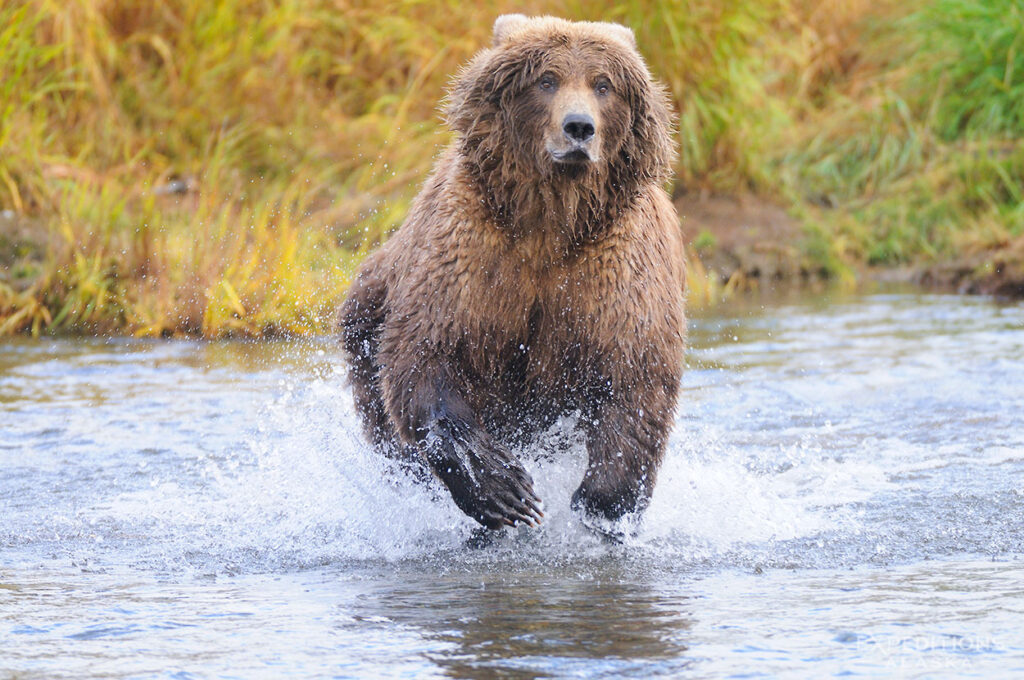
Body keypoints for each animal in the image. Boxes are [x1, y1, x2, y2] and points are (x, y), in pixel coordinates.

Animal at [339, 14, 686, 532]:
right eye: (547, 80)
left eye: (603, 84)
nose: (578, 127)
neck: (553, 221)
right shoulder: (470, 253)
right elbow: (429, 353)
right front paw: (504, 491)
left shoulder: (617, 272)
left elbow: (635, 375)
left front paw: (602, 503)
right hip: (368, 311)